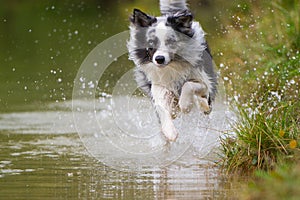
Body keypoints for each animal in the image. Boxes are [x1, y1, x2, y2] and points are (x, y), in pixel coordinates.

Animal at [127, 0, 217, 141]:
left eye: (170, 41)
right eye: (151, 43)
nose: (159, 59)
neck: (172, 66)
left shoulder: (204, 82)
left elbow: (188, 85)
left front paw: (185, 105)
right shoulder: (158, 85)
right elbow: (162, 107)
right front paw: (170, 131)